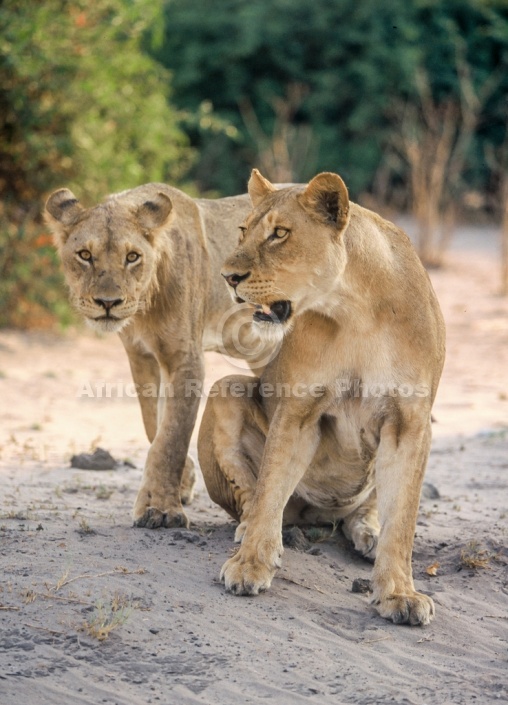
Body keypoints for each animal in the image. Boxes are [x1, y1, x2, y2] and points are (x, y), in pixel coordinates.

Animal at [45, 182, 274, 528]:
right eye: (85, 255)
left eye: (132, 257)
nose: (108, 303)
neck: (144, 307)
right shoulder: (141, 358)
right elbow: (154, 424)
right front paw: (180, 484)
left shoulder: (186, 359)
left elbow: (172, 437)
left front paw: (163, 511)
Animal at [198, 170, 444, 628]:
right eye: (243, 230)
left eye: (279, 233)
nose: (228, 276)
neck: (356, 311)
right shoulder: (298, 410)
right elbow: (270, 487)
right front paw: (250, 564)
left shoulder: (411, 422)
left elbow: (403, 516)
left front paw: (399, 593)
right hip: (226, 390)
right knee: (254, 498)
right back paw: (253, 531)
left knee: (363, 510)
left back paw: (368, 534)